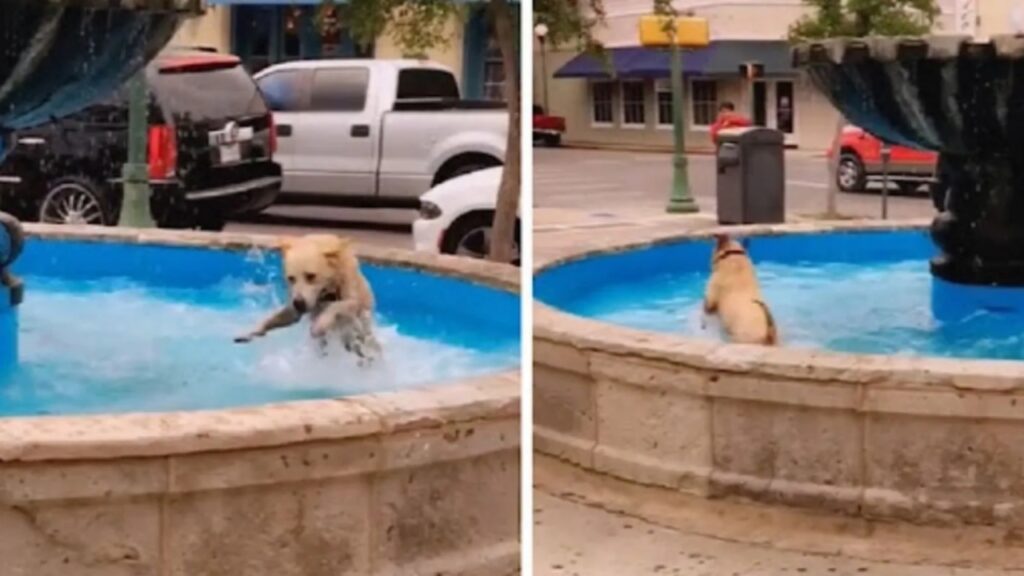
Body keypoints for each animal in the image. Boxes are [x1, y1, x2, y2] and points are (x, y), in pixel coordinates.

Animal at [234, 234, 382, 362]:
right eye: (291, 278)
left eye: (311, 276)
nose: (299, 303)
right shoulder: (294, 308)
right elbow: (276, 317)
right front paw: (251, 332)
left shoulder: (353, 299)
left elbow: (339, 305)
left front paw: (320, 323)